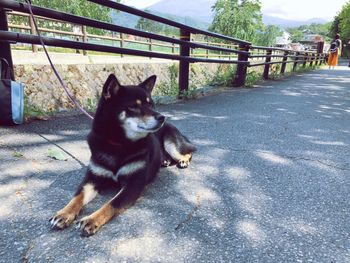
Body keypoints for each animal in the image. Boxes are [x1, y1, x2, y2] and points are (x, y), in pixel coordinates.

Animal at [49, 73, 197, 237]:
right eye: (134, 106)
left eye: (151, 105)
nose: (162, 117)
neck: (119, 144)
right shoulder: (92, 179)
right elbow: (77, 198)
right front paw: (64, 214)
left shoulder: (132, 185)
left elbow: (110, 204)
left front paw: (91, 219)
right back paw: (164, 161)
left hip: (171, 144)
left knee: (188, 152)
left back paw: (183, 161)